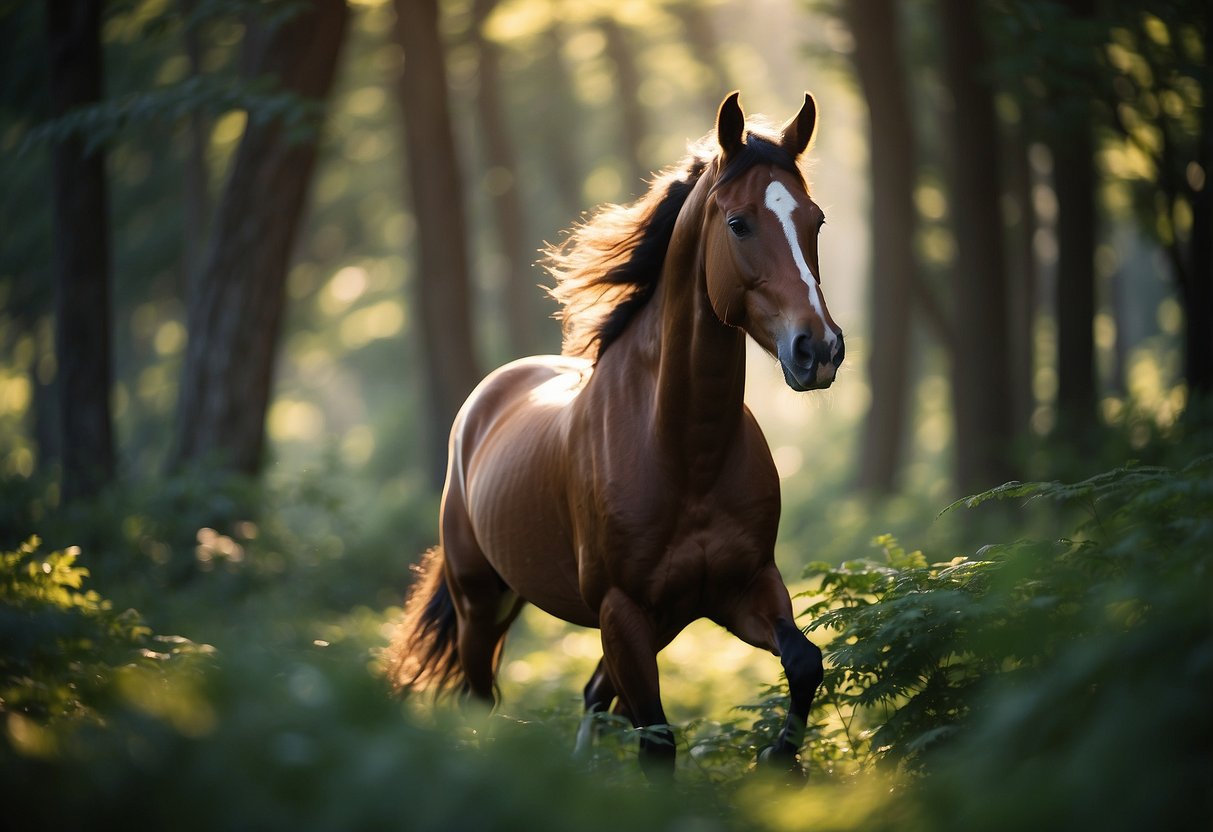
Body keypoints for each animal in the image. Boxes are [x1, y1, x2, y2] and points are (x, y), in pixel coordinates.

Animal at [388, 92, 844, 781]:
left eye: (814, 220)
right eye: (739, 224)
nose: (818, 349)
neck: (683, 453)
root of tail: (484, 401)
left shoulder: (741, 589)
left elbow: (804, 663)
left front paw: (777, 757)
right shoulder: (623, 611)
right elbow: (657, 742)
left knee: (595, 695)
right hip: (481, 604)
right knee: (483, 700)